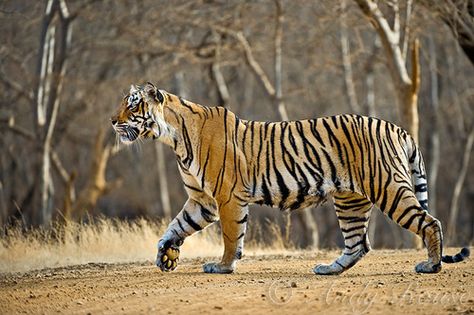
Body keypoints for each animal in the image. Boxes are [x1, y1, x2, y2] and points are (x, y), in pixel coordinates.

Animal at [112, 82, 470, 276]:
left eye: (132, 106)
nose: (112, 120)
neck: (173, 138)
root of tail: (397, 128)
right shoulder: (202, 200)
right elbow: (175, 225)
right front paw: (166, 254)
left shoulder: (226, 197)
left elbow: (231, 236)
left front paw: (223, 266)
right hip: (350, 201)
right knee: (358, 243)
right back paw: (328, 269)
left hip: (388, 188)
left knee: (429, 222)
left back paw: (431, 265)